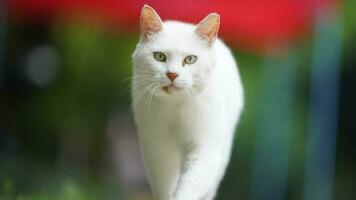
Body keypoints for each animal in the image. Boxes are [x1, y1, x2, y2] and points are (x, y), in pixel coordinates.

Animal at [132, 5, 243, 200]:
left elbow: (190, 186)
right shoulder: (157, 148)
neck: (174, 107)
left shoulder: (206, 149)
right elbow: (163, 185)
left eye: (190, 59)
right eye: (159, 56)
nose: (172, 74)